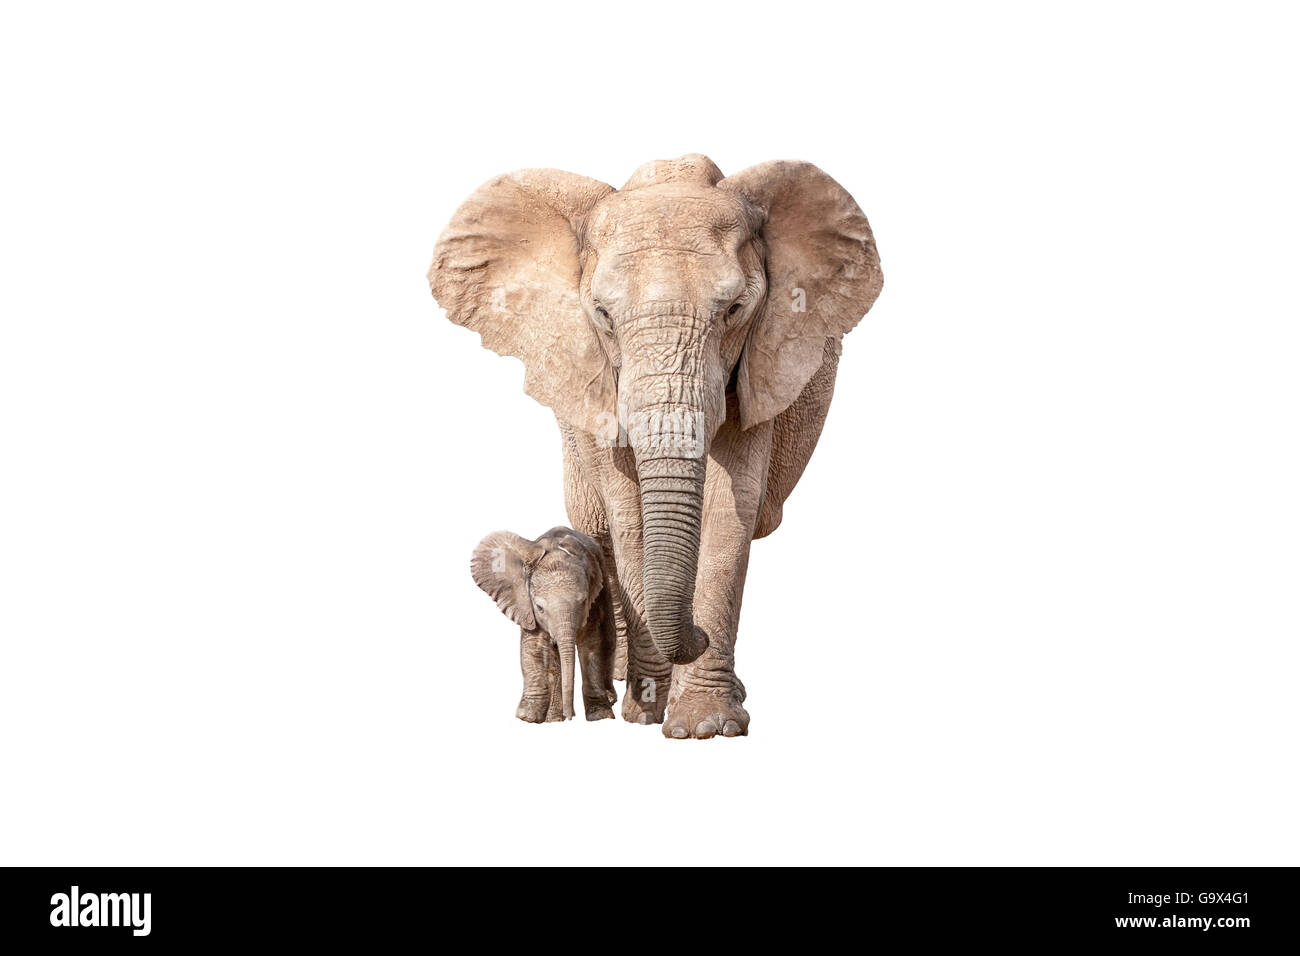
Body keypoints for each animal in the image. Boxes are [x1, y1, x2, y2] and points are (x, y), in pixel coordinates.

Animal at [471, 526, 617, 722]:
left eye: (583, 602)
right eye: (539, 608)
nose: (570, 716)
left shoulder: (596, 596)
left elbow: (593, 641)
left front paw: (601, 716)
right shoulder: (526, 604)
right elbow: (536, 647)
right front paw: (528, 717)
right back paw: (553, 719)